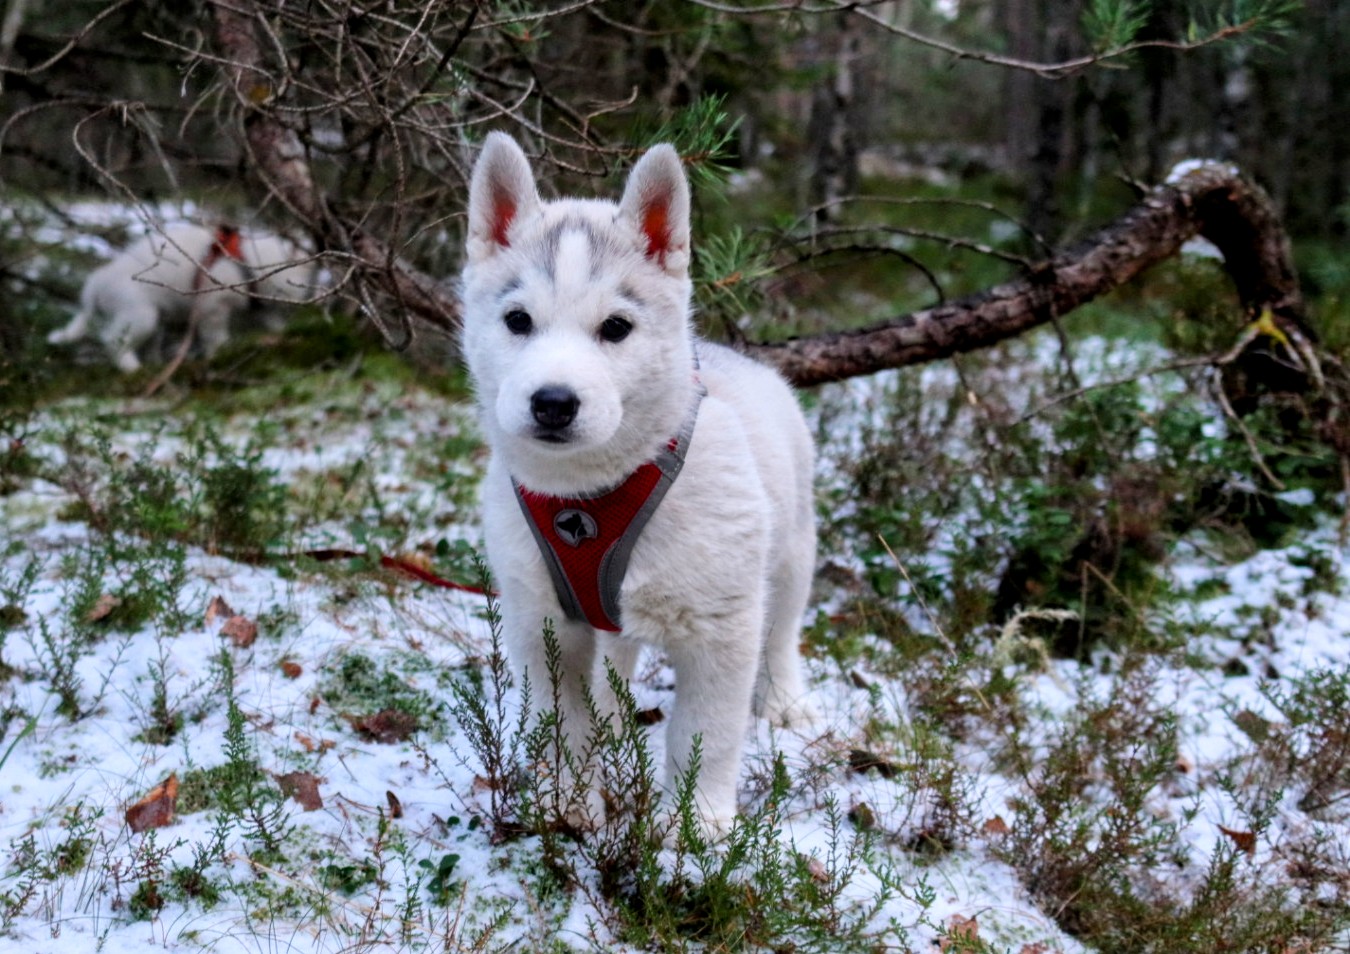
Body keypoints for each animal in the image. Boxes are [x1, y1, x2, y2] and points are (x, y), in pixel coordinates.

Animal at [47, 223, 315, 372]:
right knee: (113, 340)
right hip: (140, 314)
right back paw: (132, 368)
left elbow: (272, 322)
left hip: (155, 318)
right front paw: (219, 353)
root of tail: (96, 283)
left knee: (149, 344)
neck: (247, 262)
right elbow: (216, 337)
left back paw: (156, 364)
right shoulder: (212, 307)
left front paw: (282, 336)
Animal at [464, 132, 810, 836]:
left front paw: (697, 827)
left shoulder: (723, 628)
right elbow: (560, 720)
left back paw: (784, 699)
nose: (553, 403)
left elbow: (706, 733)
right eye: (518, 320)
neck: (591, 496)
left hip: (792, 550)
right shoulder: (542, 622)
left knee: (785, 626)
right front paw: (566, 800)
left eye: (616, 328)